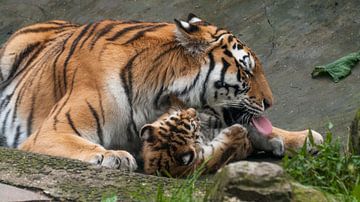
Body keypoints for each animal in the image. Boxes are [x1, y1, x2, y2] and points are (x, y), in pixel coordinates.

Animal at [0, 13, 322, 170]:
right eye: (246, 70)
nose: (270, 102)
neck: (157, 97)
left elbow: (254, 128)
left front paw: (303, 138)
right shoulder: (52, 132)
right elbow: (83, 146)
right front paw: (113, 156)